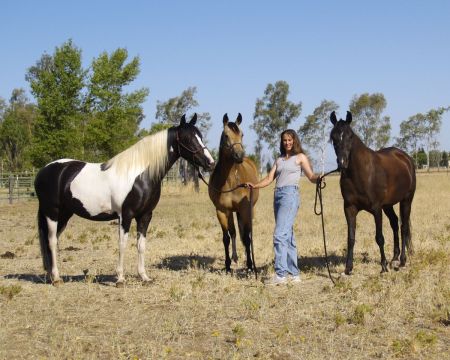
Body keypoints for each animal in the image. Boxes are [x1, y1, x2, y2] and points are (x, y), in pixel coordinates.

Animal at [35, 114, 214, 286]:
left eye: (200, 136)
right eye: (188, 139)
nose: (210, 163)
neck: (139, 176)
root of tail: (43, 171)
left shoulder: (145, 215)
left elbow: (141, 245)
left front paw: (144, 277)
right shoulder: (125, 215)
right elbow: (122, 244)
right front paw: (120, 279)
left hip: (65, 214)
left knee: (53, 241)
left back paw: (52, 275)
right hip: (52, 213)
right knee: (51, 241)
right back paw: (56, 279)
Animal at [208, 112, 258, 272]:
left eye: (242, 134)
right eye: (226, 135)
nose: (239, 156)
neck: (230, 181)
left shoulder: (244, 209)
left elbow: (247, 238)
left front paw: (250, 265)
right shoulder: (222, 211)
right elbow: (226, 238)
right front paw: (228, 265)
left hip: (248, 210)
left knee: (247, 233)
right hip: (231, 212)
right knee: (234, 232)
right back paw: (235, 257)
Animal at [328, 111, 416, 274]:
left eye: (350, 136)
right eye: (333, 137)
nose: (342, 163)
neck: (361, 173)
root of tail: (406, 158)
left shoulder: (376, 208)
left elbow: (379, 237)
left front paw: (383, 266)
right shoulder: (349, 208)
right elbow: (351, 238)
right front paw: (348, 268)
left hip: (406, 200)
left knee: (404, 227)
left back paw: (401, 261)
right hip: (388, 205)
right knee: (395, 223)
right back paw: (394, 258)